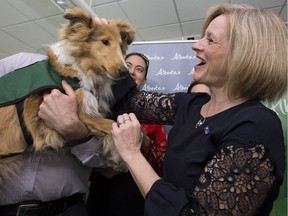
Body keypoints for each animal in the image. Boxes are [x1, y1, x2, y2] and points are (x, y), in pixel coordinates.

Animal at [0, 7, 136, 181]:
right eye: (105, 42)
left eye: (121, 45)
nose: (125, 72)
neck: (80, 67)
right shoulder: (76, 114)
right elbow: (111, 124)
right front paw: (119, 156)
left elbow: (109, 126)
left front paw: (115, 157)